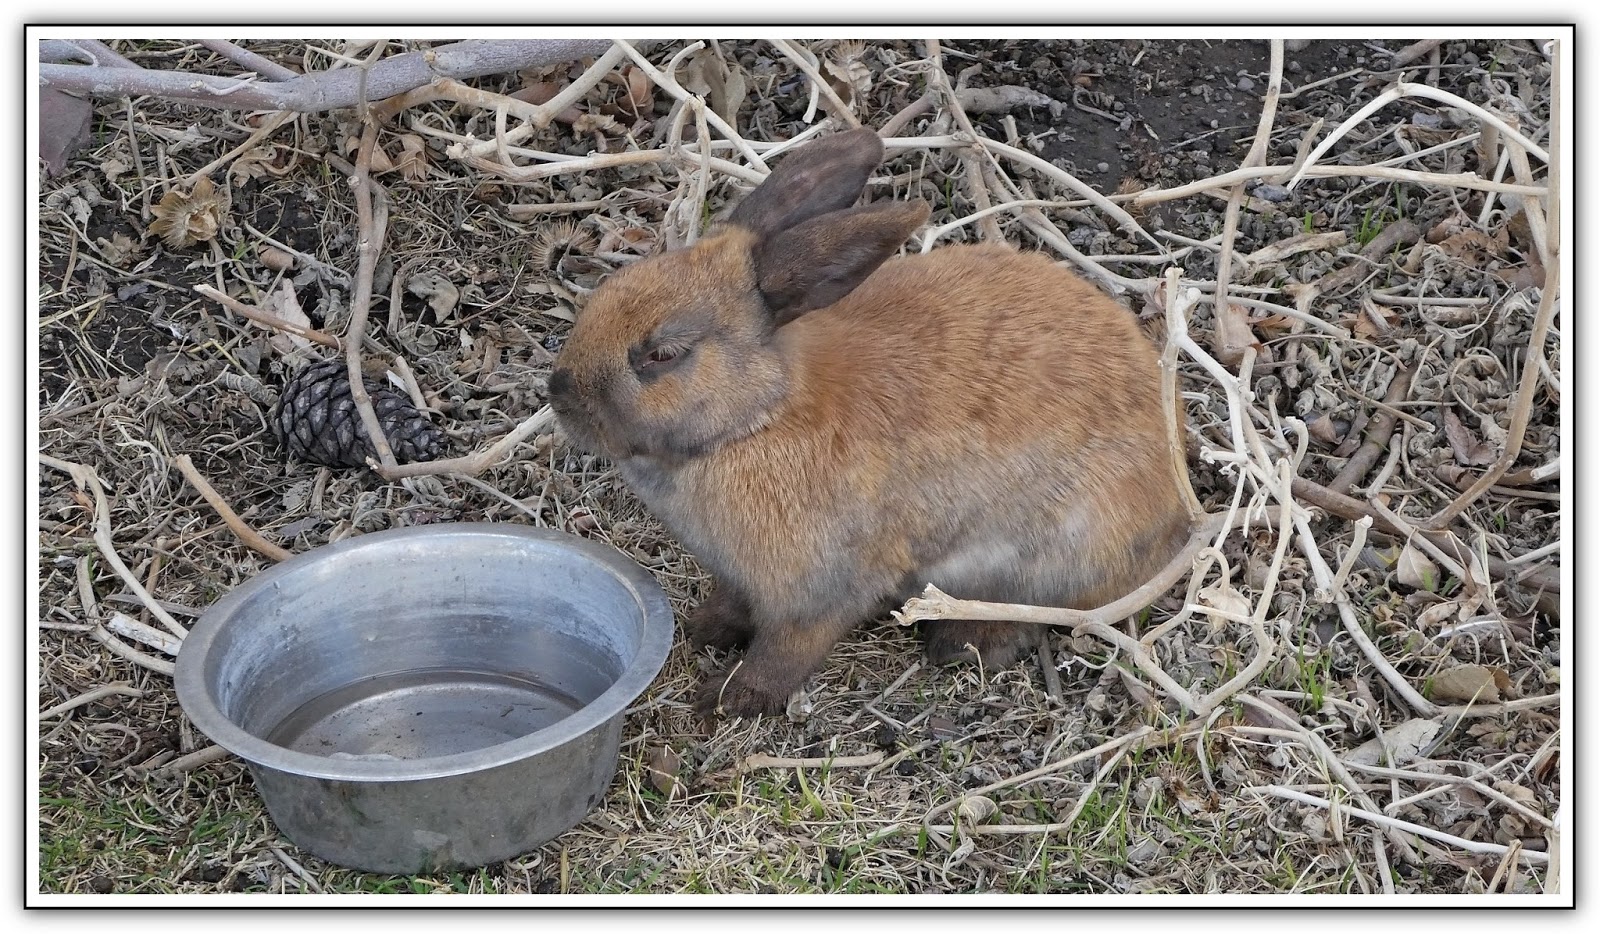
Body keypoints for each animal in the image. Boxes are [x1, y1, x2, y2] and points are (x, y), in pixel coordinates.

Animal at [549, 127, 1191, 721]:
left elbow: (786, 650)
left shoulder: (818, 593)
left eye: (663, 354)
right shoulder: (740, 577)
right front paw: (703, 629)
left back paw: (962, 645)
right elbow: (732, 606)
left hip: (1045, 560)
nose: (559, 395)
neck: (758, 417)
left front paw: (730, 700)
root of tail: (1174, 510)